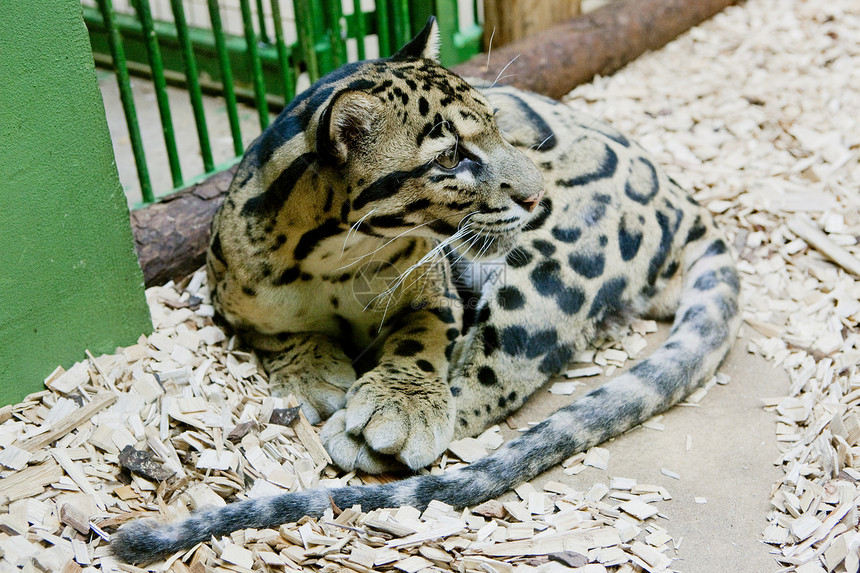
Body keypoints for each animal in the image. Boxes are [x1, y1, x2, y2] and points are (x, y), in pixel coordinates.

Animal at [111, 17, 740, 564]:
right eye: (452, 157)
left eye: (496, 124)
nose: (537, 195)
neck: (329, 258)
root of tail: (688, 206)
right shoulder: (233, 294)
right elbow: (279, 332)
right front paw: (313, 371)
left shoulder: (436, 294)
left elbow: (422, 340)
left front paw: (400, 405)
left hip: (547, 271)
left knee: (491, 380)